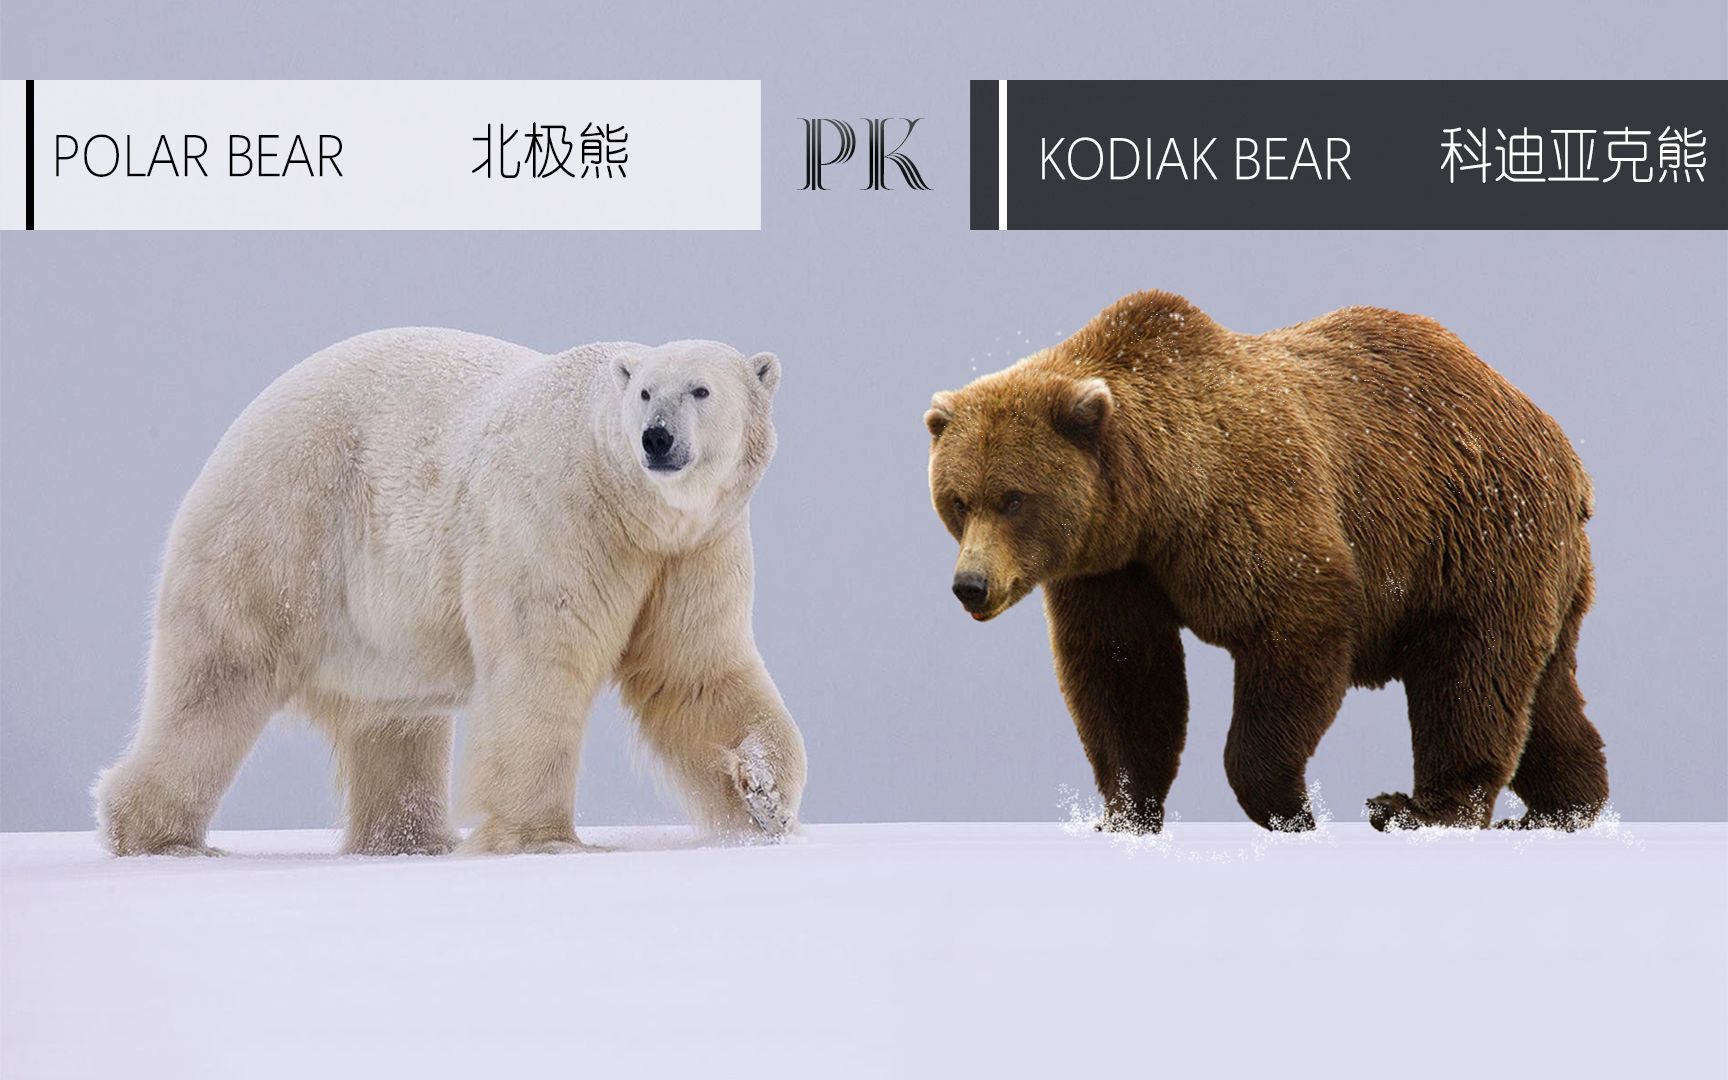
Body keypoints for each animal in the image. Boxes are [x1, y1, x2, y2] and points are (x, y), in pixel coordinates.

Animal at [94, 328, 806, 855]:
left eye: (701, 389)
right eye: (646, 392)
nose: (656, 439)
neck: (630, 506)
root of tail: (239, 428)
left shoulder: (694, 547)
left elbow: (696, 670)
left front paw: (767, 799)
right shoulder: (558, 514)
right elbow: (540, 665)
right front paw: (542, 838)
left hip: (375, 629)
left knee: (395, 721)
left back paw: (410, 840)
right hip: (282, 529)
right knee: (216, 680)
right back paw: (159, 837)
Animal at [924, 291, 1608, 833]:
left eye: (1014, 498)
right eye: (958, 499)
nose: (971, 585)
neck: (1156, 500)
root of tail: (1561, 446)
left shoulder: (1249, 505)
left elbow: (1295, 626)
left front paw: (1291, 806)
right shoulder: (1112, 571)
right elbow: (1124, 676)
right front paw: (1123, 812)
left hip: (1475, 534)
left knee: (1471, 675)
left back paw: (1418, 809)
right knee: (1545, 695)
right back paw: (1565, 806)